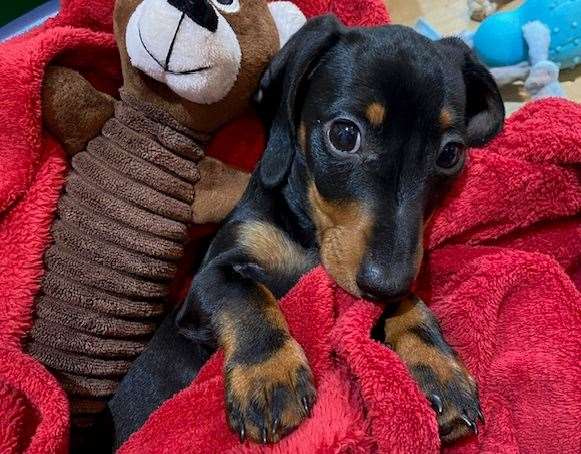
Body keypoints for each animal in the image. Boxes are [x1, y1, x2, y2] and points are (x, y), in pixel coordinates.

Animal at [178, 15, 502, 444]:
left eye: (450, 154)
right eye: (344, 135)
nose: (387, 284)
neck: (311, 235)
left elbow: (412, 306)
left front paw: (437, 366)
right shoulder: (210, 277)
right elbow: (244, 294)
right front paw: (269, 375)